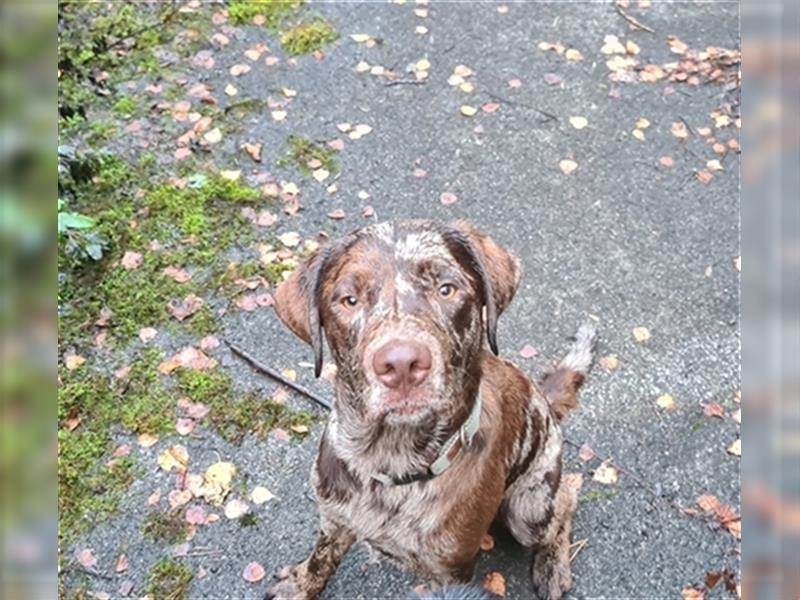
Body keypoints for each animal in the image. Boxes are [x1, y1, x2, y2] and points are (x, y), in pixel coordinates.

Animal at [268, 220, 592, 600]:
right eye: (349, 300)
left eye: (446, 289)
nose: (401, 364)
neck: (389, 462)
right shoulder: (334, 518)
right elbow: (321, 557)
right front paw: (301, 584)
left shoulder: (450, 571)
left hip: (528, 510)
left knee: (567, 499)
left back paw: (553, 563)